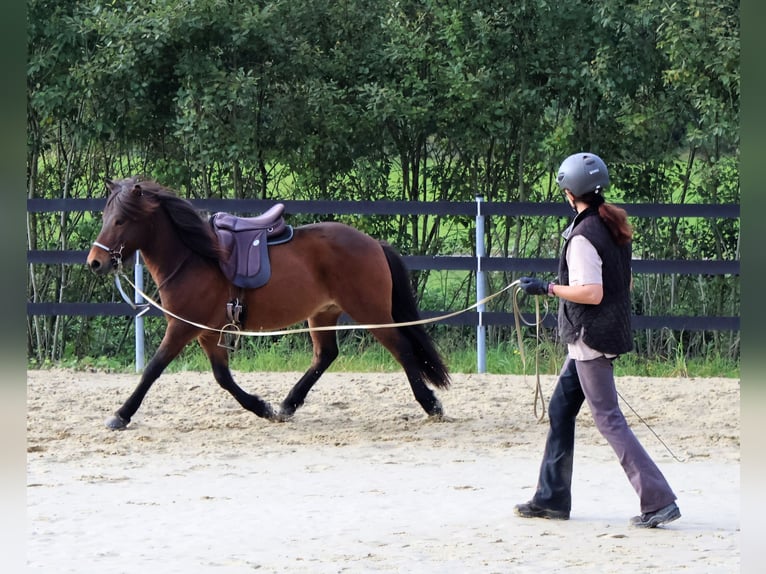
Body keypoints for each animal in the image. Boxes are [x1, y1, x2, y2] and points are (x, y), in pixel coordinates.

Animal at [86, 176, 450, 429]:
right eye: (105, 217)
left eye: (120, 220)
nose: (95, 262)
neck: (194, 258)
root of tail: (373, 243)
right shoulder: (207, 332)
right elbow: (223, 377)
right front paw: (263, 407)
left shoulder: (182, 328)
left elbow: (153, 369)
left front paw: (121, 414)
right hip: (323, 313)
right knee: (325, 355)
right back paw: (288, 404)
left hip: (371, 312)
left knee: (402, 349)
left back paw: (430, 405)